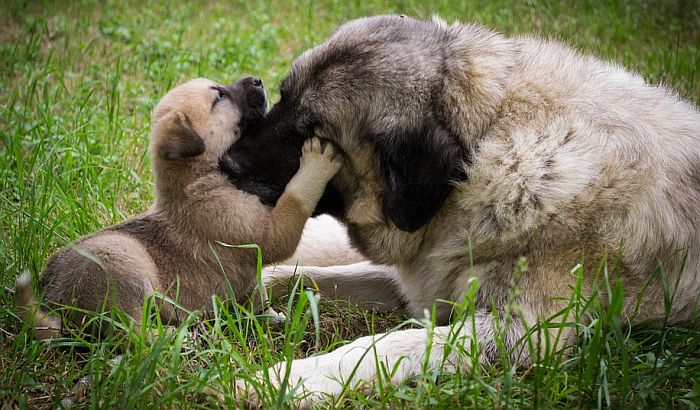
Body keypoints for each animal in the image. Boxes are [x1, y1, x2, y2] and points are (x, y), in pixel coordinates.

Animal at [16, 77, 344, 340]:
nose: (258, 80)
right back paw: (178, 336)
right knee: (129, 333)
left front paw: (274, 318)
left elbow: (258, 298)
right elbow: (295, 199)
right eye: (219, 97)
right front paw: (316, 162)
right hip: (122, 262)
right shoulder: (265, 232)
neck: (197, 180)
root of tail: (53, 299)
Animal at [223, 15, 700, 404]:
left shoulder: (526, 332)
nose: (226, 164)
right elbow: (301, 276)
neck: (483, 148)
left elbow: (388, 345)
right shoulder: (425, 281)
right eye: (283, 97)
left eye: (312, 134)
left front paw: (290, 379)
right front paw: (245, 294)